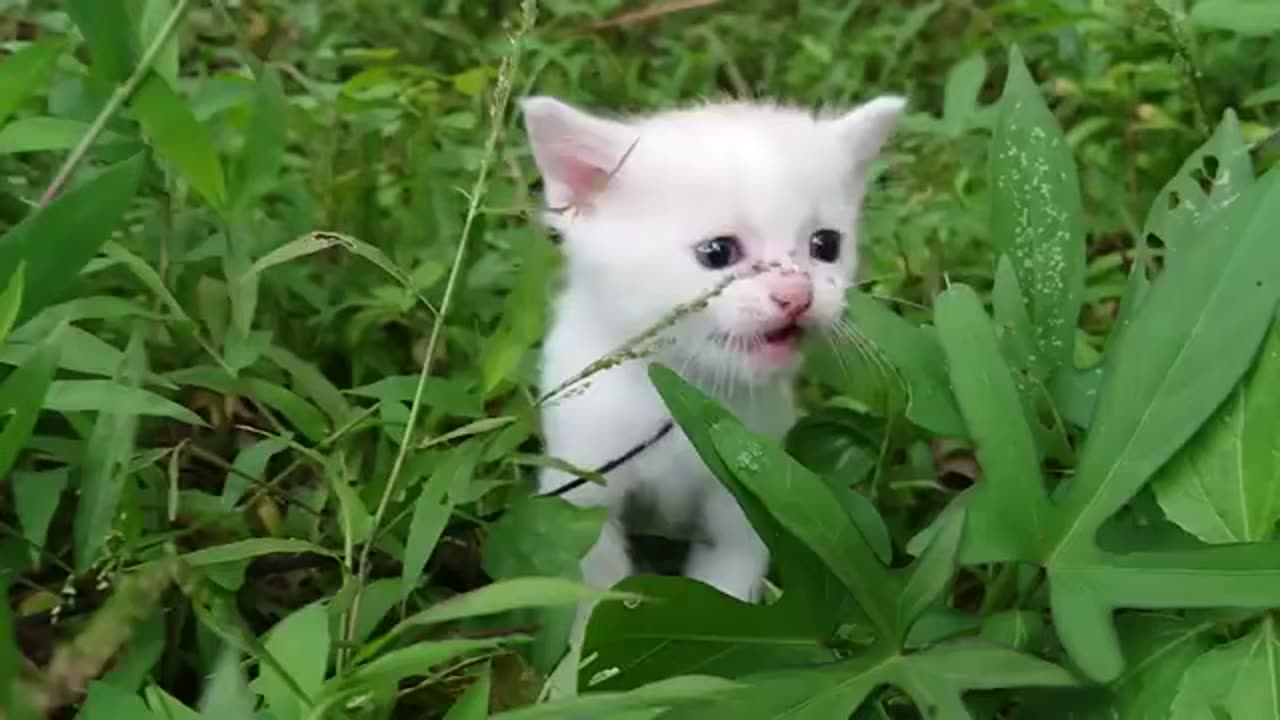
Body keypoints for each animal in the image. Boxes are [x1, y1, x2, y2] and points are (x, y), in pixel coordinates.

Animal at [519, 96, 901, 604]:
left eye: (826, 245)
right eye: (717, 253)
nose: (797, 295)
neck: (680, 382)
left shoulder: (748, 491)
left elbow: (729, 582)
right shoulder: (579, 484)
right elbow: (596, 588)